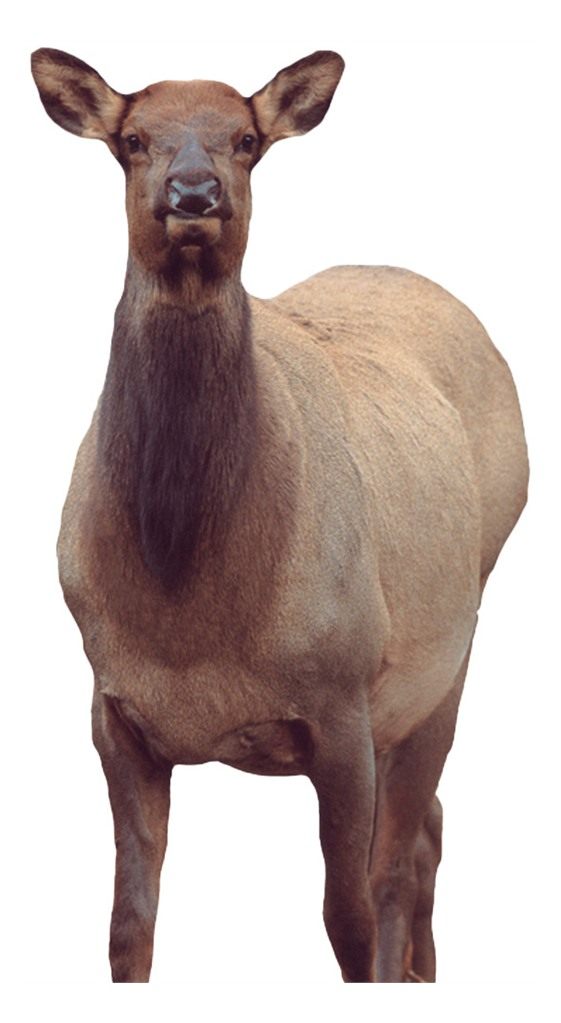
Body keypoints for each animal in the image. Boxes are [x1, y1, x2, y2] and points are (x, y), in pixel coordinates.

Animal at [31, 47, 528, 983]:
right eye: (132, 139)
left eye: (248, 140)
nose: (194, 194)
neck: (190, 617)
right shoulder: (112, 709)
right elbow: (126, 928)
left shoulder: (341, 700)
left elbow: (349, 918)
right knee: (431, 828)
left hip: (444, 656)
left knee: (401, 857)